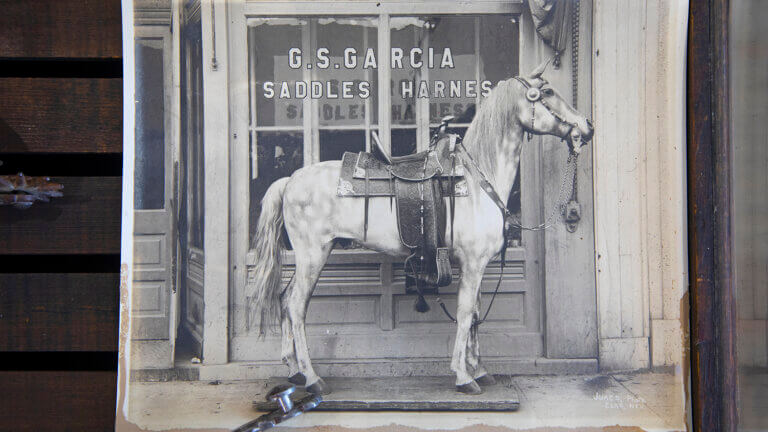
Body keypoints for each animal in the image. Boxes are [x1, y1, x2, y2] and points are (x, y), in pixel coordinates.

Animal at [246, 60, 592, 394]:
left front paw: (479, 369)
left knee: (284, 300)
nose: (586, 126)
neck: (478, 181)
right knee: (295, 306)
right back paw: (312, 377)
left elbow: (476, 314)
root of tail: (290, 180)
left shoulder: (478, 266)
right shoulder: (472, 263)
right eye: (546, 92)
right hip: (312, 255)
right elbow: (466, 314)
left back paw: (293, 370)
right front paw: (464, 377)